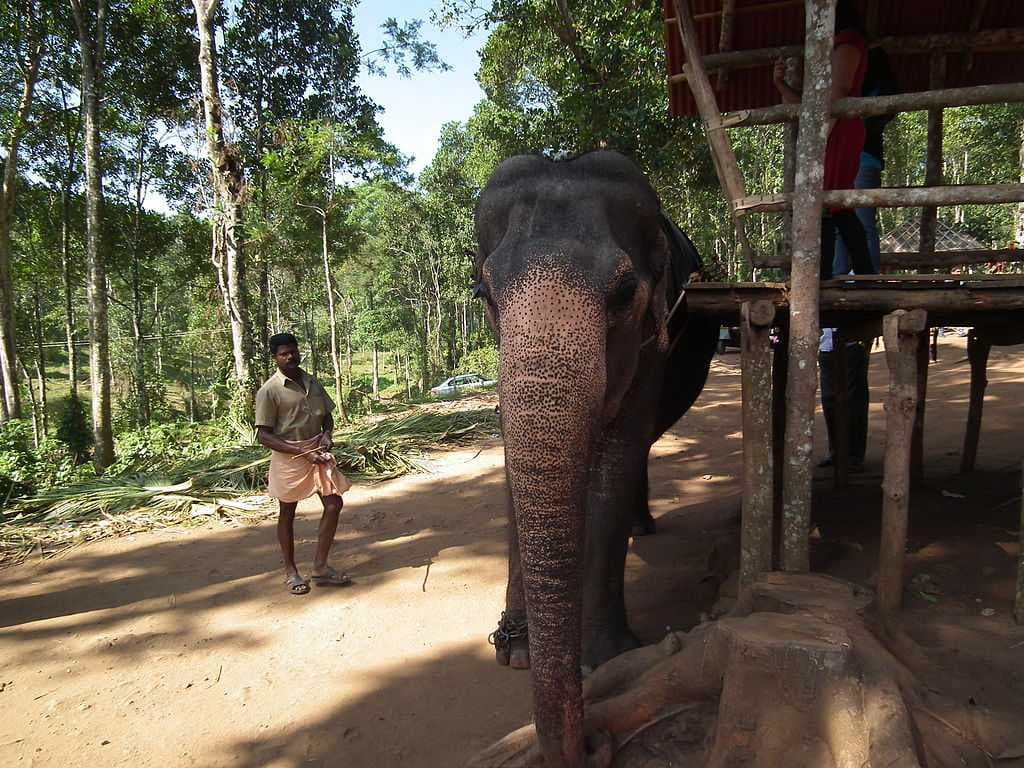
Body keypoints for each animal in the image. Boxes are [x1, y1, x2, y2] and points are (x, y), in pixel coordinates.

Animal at [473, 150, 719, 767]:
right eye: (483, 294)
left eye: (626, 292)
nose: (593, 743)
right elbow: (511, 467)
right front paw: (515, 651)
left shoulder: (655, 342)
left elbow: (616, 460)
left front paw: (605, 659)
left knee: (640, 450)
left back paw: (640, 526)